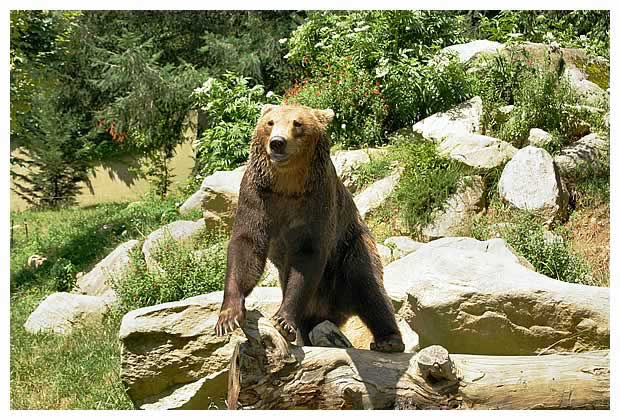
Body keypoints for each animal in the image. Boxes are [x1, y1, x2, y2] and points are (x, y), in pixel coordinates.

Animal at [216, 103, 404, 352]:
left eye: (297, 123)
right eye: (270, 123)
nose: (277, 142)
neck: (287, 185)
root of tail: (333, 310)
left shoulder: (317, 200)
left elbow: (308, 254)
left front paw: (283, 320)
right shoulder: (257, 194)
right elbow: (247, 244)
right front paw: (228, 317)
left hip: (351, 247)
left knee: (367, 286)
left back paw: (389, 340)